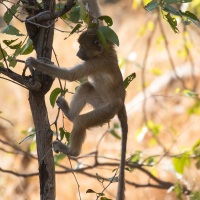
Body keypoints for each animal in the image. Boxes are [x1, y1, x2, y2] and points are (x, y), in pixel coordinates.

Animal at [25, 0, 128, 199]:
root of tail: (120, 102)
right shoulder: (107, 39)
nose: (77, 54)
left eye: (81, 47)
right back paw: (69, 114)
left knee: (82, 121)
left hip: (106, 111)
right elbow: (97, 19)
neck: (102, 53)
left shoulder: (93, 63)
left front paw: (34, 63)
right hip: (101, 103)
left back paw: (72, 150)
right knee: (87, 87)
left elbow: (71, 76)